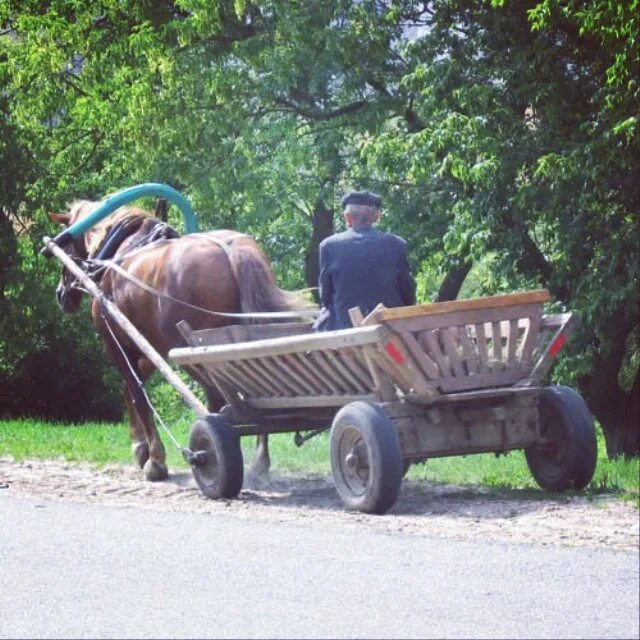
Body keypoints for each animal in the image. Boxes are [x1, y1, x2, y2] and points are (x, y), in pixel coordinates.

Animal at [51, 200, 316, 480]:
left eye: (66, 242)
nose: (61, 294)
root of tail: (231, 251)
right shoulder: (150, 349)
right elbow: (130, 389)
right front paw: (140, 447)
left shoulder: (117, 343)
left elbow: (138, 395)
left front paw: (155, 461)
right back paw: (259, 462)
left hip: (192, 352)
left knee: (216, 398)